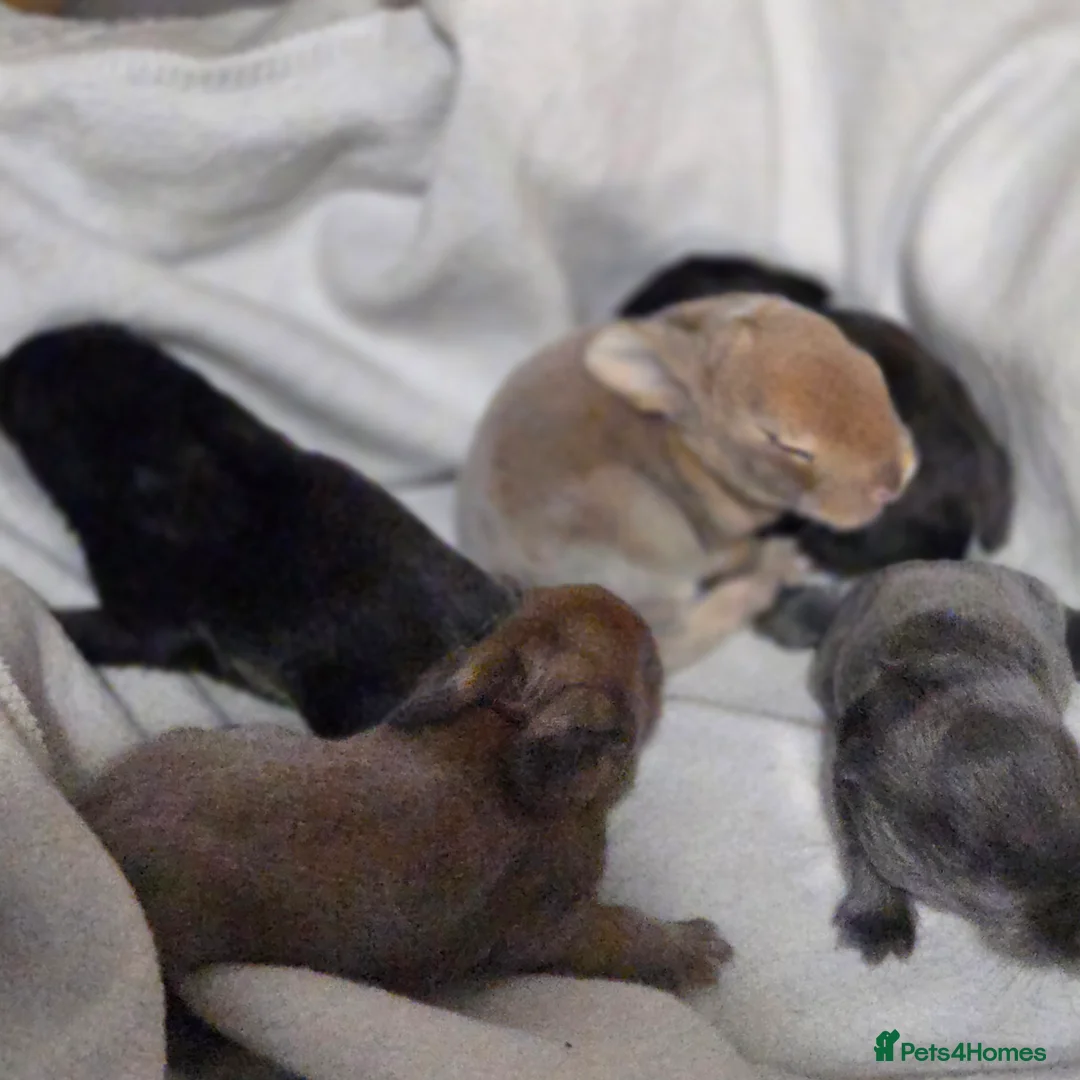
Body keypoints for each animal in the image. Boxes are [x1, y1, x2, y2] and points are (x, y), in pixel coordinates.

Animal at [457, 293, 917, 671]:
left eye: (867, 366)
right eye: (784, 444)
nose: (892, 482)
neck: (691, 446)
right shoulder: (720, 540)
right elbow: (739, 554)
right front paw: (784, 559)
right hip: (650, 534)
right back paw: (772, 576)